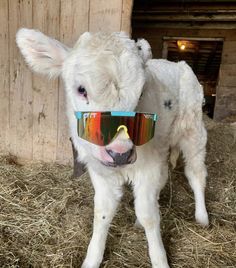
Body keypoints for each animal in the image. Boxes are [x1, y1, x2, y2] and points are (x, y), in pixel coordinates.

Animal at [16, 29, 208, 268]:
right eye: (81, 89)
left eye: (141, 92)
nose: (120, 153)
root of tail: (177, 63)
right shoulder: (100, 170)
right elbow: (103, 212)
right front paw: (92, 259)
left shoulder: (148, 165)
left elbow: (149, 215)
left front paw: (159, 259)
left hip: (194, 132)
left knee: (196, 174)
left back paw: (202, 218)